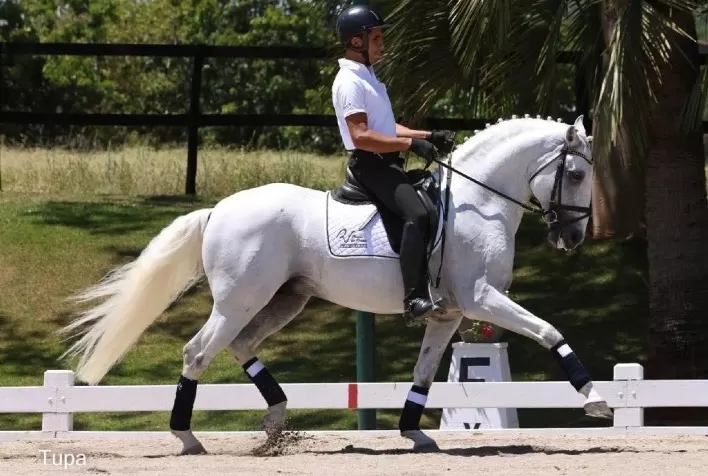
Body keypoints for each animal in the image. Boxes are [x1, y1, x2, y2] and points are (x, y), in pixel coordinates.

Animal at [58, 114, 611, 454]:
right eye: (576, 174)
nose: (571, 237)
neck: (479, 201)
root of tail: (218, 209)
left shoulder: (450, 313)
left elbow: (424, 372)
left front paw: (413, 433)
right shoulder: (483, 301)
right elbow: (549, 331)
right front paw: (594, 399)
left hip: (287, 299)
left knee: (240, 344)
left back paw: (276, 419)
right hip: (241, 299)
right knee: (198, 352)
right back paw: (188, 438)